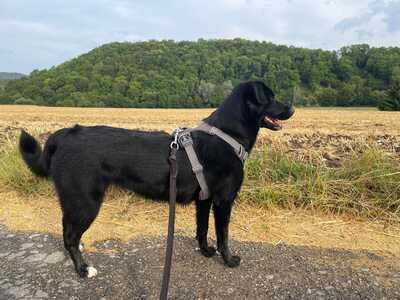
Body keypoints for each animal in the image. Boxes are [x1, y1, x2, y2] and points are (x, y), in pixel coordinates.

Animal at [19, 81, 294, 278]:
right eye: (270, 97)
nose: (292, 107)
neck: (227, 134)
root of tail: (65, 135)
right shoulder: (223, 201)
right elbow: (223, 235)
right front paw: (228, 259)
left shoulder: (204, 200)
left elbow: (202, 229)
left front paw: (206, 252)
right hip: (86, 201)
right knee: (69, 236)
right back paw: (83, 269)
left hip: (76, 201)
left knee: (68, 232)